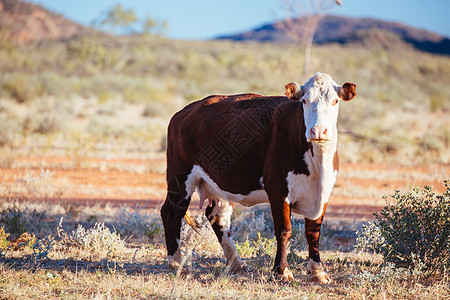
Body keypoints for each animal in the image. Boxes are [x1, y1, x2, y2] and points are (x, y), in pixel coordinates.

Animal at [160, 72, 356, 284]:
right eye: (304, 100)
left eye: (335, 101)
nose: (318, 131)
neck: (317, 165)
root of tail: (183, 113)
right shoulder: (278, 189)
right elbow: (284, 230)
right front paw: (282, 271)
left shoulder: (323, 193)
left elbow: (313, 232)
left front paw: (318, 271)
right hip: (180, 177)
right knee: (171, 212)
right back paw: (177, 264)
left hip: (221, 184)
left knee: (218, 216)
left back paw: (237, 265)